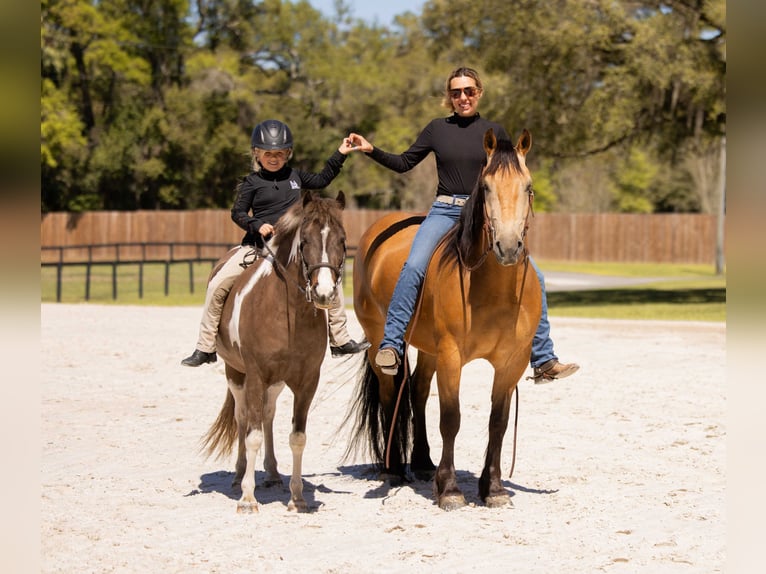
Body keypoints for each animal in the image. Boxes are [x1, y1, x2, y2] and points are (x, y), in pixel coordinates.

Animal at [201, 191, 347, 513]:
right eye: (304, 241)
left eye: (342, 241)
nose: (325, 293)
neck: (288, 313)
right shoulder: (256, 376)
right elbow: (252, 435)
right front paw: (247, 498)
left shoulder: (307, 381)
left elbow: (297, 437)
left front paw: (297, 498)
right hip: (236, 374)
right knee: (243, 417)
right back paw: (240, 474)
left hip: (276, 382)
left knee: (267, 414)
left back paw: (271, 473)